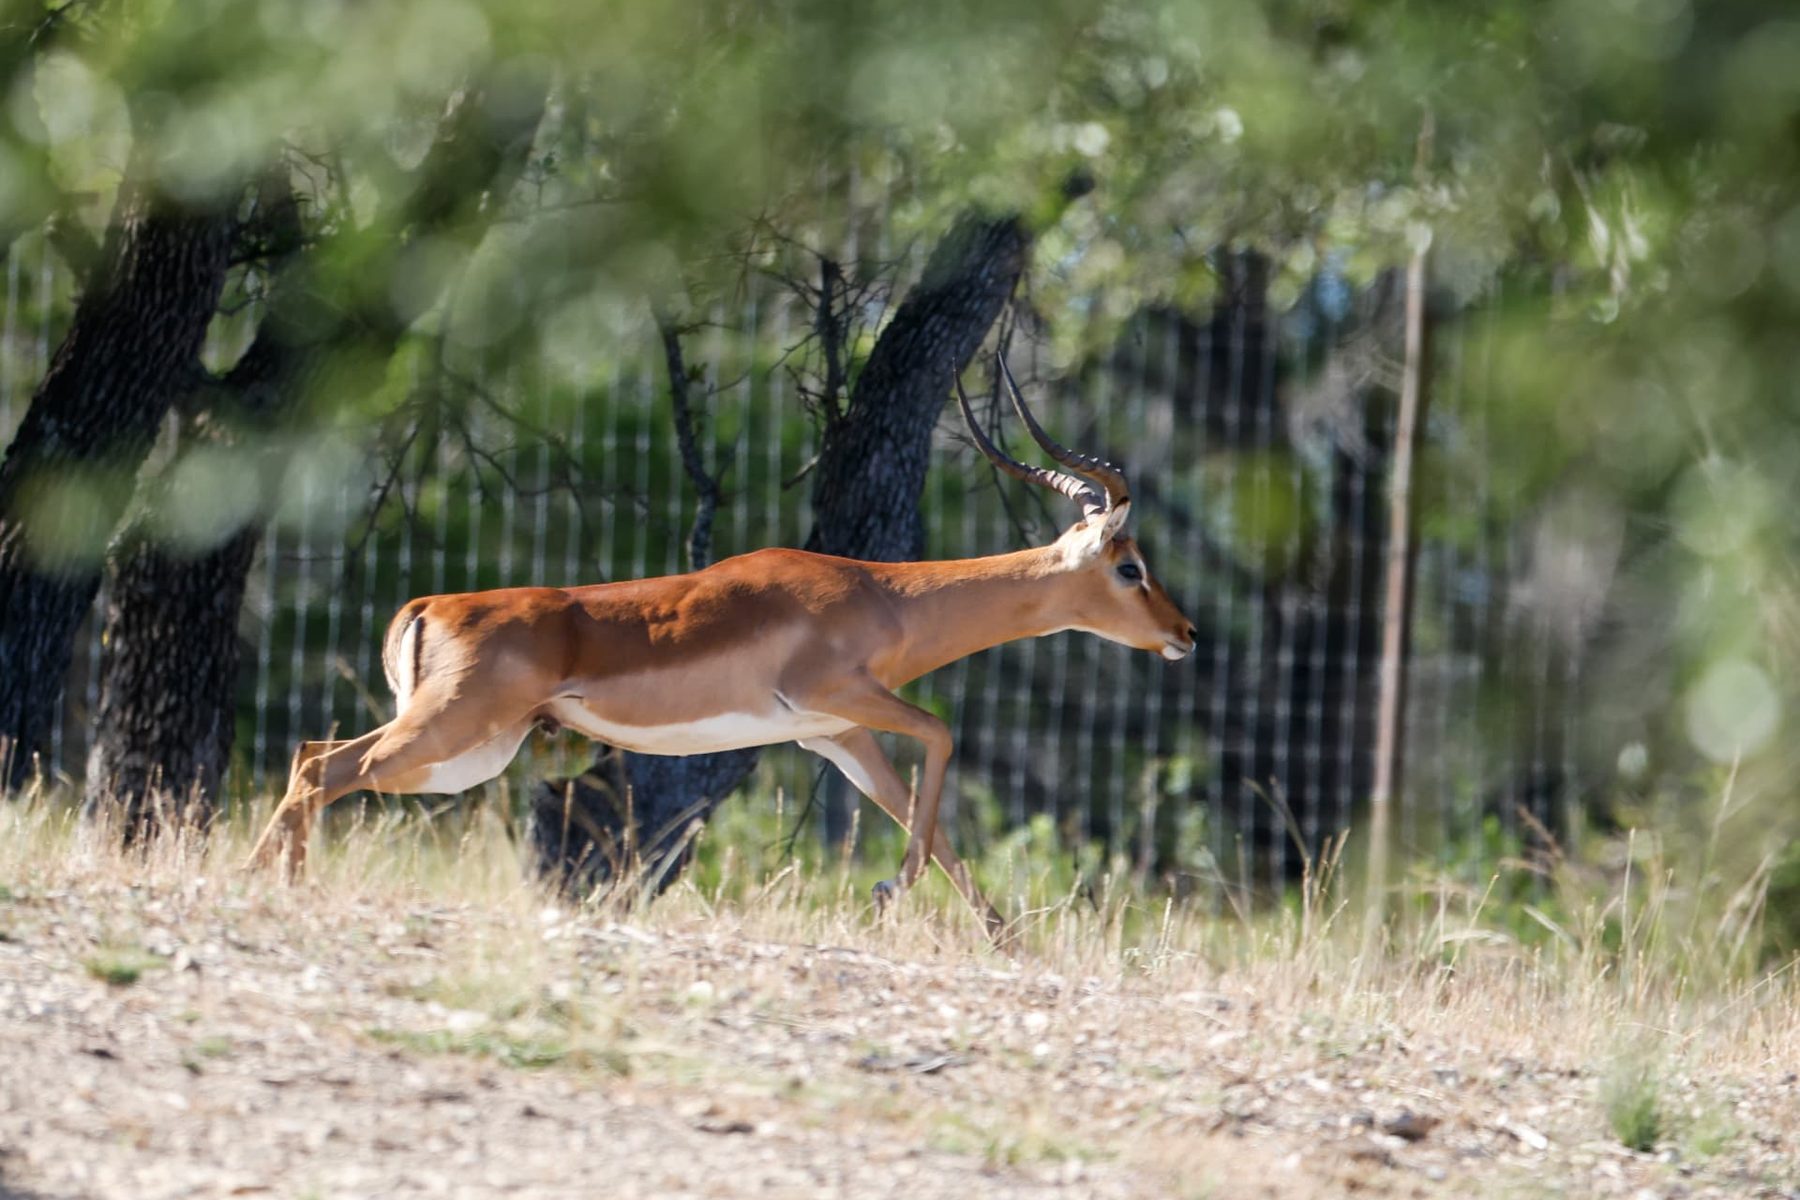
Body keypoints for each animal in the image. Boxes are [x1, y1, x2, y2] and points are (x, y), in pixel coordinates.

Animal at [246, 355, 1197, 939]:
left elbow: (915, 812)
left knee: (307, 754)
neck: (880, 595)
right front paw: (891, 890)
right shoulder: (836, 700)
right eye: (1131, 566)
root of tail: (429, 601)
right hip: (454, 729)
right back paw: (280, 889)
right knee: (324, 769)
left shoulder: (835, 735)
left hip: (469, 752)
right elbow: (941, 735)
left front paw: (1000, 937)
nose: (1186, 634)